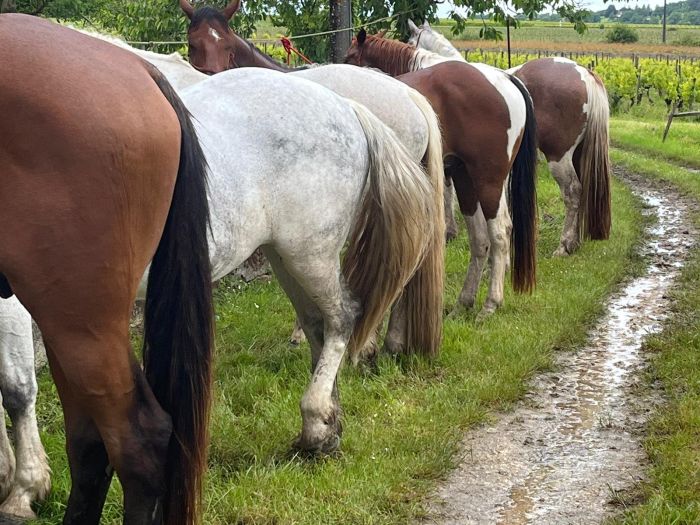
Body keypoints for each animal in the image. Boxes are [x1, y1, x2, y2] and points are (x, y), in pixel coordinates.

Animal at [408, 21, 608, 255]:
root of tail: (584, 73)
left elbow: (447, 194)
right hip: (578, 153)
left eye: (410, 41)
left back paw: (564, 245)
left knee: (573, 191)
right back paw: (574, 242)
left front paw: (449, 231)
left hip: (558, 156)